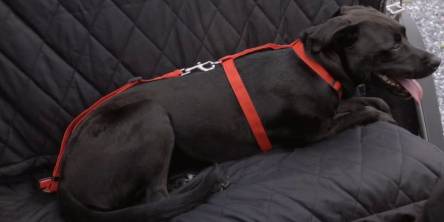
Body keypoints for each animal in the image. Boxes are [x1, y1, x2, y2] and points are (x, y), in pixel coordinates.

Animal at [59, 6, 440, 221]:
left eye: (404, 34)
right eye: (393, 46)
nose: (437, 60)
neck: (317, 68)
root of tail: (64, 180)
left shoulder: (332, 106)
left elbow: (370, 102)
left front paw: (377, 106)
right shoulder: (310, 133)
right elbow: (365, 112)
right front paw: (380, 115)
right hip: (150, 116)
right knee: (154, 199)